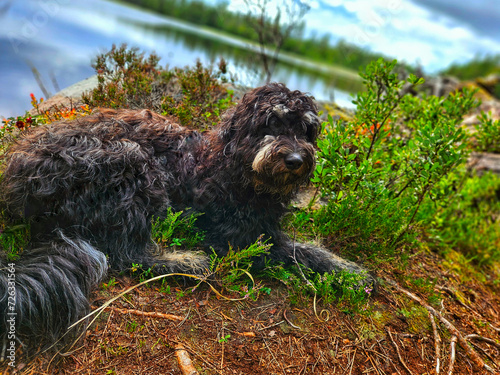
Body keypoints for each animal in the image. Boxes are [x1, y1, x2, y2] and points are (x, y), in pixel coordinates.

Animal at [0, 82, 374, 356]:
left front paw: (351, 271)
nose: (295, 159)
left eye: (306, 129)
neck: (235, 166)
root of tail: (20, 185)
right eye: (270, 123)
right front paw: (348, 273)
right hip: (131, 160)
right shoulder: (235, 239)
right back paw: (188, 263)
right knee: (128, 255)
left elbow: (311, 248)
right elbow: (296, 252)